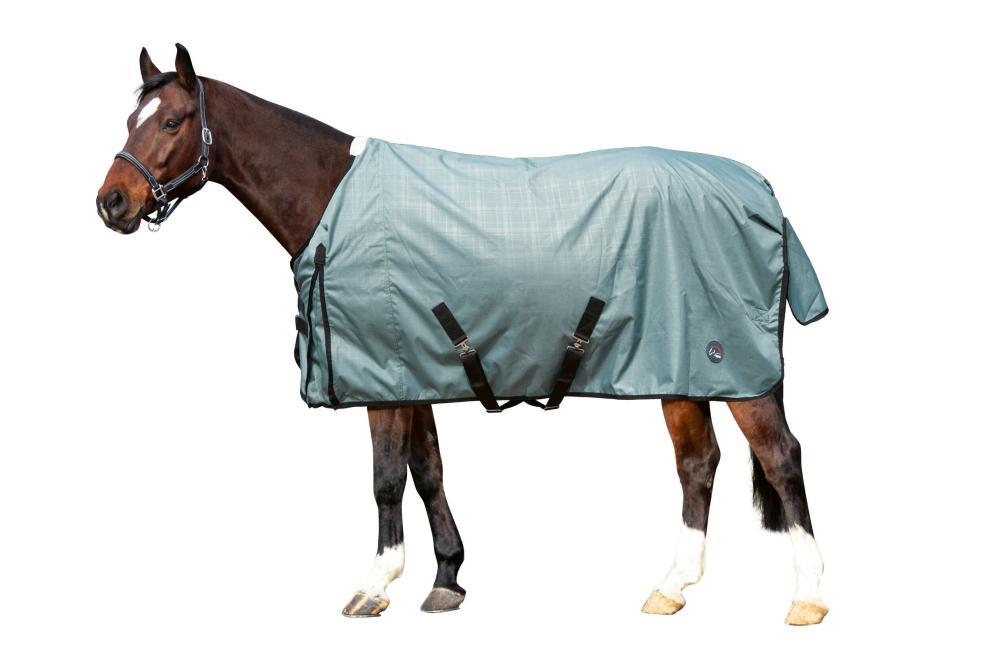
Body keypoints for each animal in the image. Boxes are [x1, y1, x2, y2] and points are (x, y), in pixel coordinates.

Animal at [96, 44, 828, 625]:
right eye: (131, 119)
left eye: (171, 120)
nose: (112, 202)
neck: (332, 200)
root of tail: (761, 190)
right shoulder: (414, 369)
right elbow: (427, 472)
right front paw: (447, 578)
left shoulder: (382, 379)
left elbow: (386, 478)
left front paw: (375, 584)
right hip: (680, 367)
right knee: (698, 463)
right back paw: (673, 586)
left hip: (735, 370)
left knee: (781, 457)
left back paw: (808, 597)